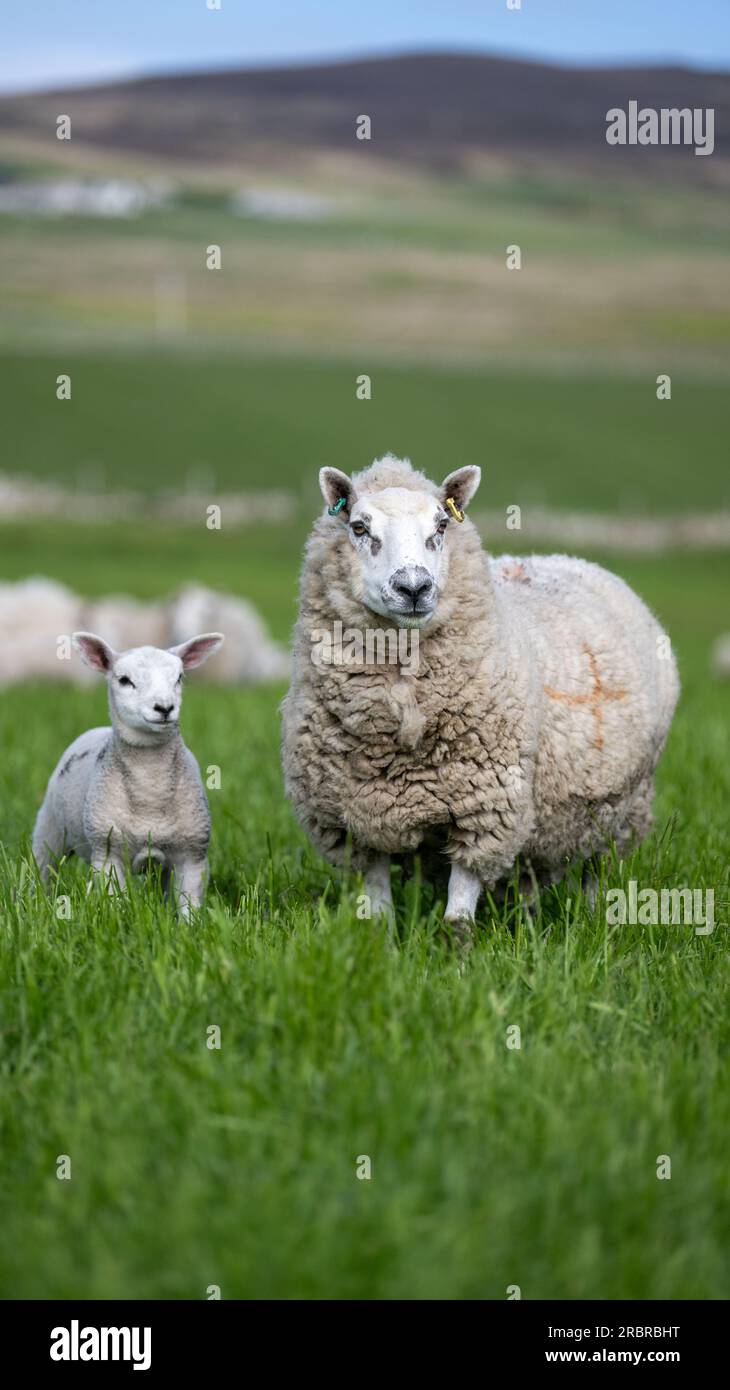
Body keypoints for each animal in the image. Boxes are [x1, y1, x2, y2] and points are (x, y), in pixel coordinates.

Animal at [31, 633, 223, 917]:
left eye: (179, 677)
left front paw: (190, 926)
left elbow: (189, 905)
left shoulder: (192, 854)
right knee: (43, 868)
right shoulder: (108, 852)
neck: (150, 791)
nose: (164, 707)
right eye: (124, 680)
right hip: (50, 829)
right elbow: (116, 902)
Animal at [282, 455, 681, 934]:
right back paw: (527, 923)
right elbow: (378, 909)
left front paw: (456, 948)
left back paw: (593, 918)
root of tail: (577, 561)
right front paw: (380, 943)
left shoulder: (486, 807)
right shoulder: (359, 816)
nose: (413, 588)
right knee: (529, 876)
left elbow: (458, 915)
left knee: (595, 869)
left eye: (441, 526)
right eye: (359, 527)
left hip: (621, 809)